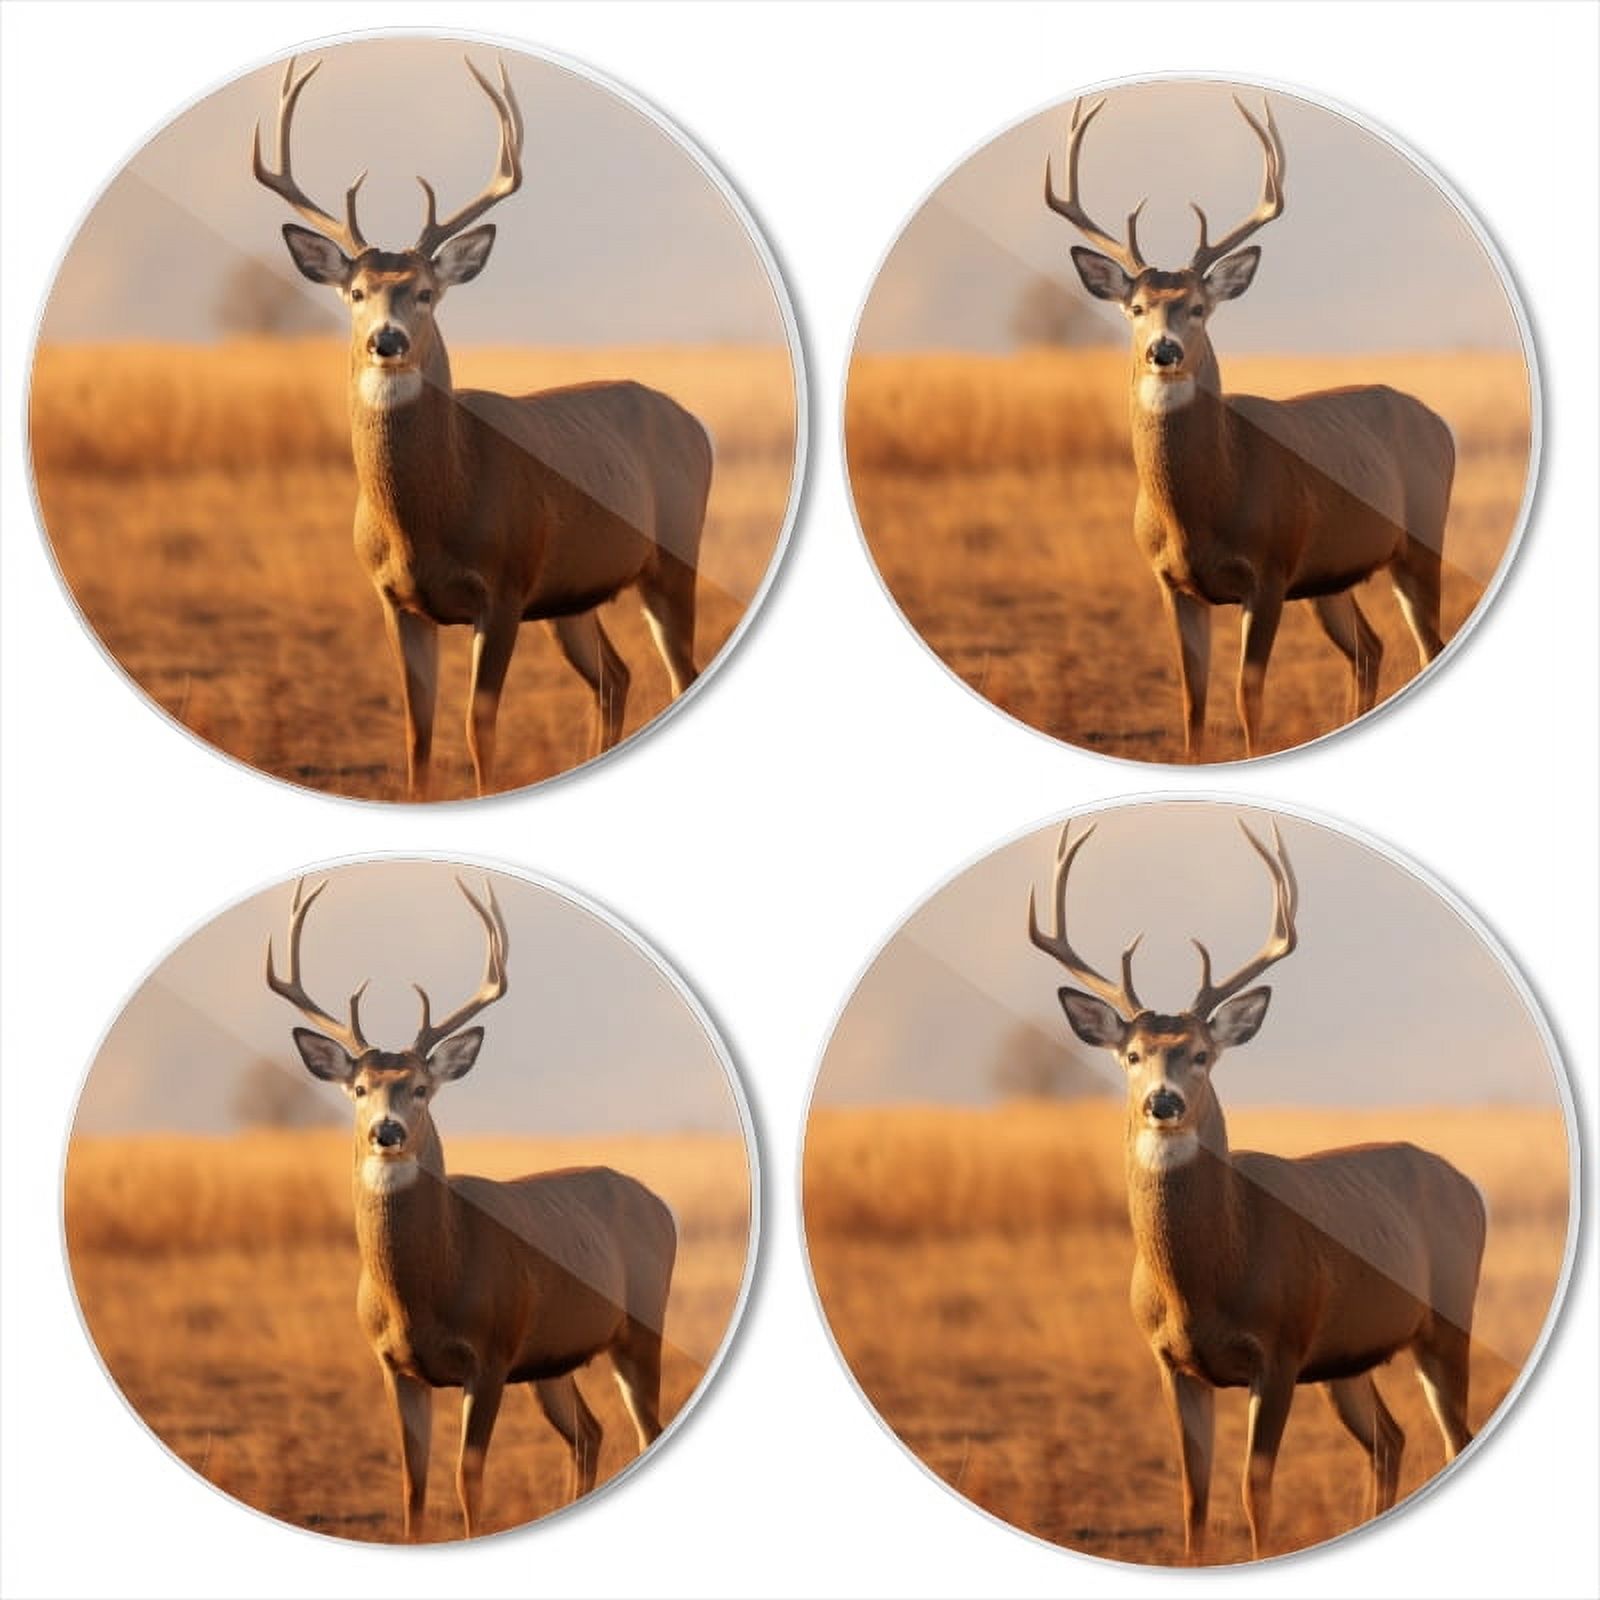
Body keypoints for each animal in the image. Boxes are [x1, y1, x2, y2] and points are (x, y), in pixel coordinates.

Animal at [252, 55, 713, 799]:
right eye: (356, 292)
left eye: (425, 292)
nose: (386, 340)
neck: (428, 519)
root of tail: (693, 422)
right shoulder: (397, 600)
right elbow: (417, 733)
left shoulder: (502, 589)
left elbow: (478, 726)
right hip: (573, 595)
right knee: (615, 677)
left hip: (672, 559)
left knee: (677, 676)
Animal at [266, 875, 678, 1540]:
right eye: (359, 1089)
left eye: (421, 1088)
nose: (386, 1131)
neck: (424, 1293)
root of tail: (659, 1203)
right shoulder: (396, 1366)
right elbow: (412, 1485)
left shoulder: (489, 1355)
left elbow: (468, 1478)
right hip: (552, 1359)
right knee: (589, 1434)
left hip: (640, 1328)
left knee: (644, 1431)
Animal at [1027, 818, 1486, 1561]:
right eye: (1132, 1055)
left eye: (1201, 1054)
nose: (1162, 1101)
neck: (1204, 1283)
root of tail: (1467, 1184)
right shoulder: (1173, 1363)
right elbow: (1193, 1496)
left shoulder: (1279, 1349)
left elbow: (1253, 1489)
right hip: (1348, 1357)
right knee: (1390, 1440)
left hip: (1446, 1321)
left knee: (1452, 1439)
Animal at [1045, 96, 1456, 759]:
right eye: (1136, 308)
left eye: (1198, 307)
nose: (1163, 350)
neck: (1201, 510)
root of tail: (1438, 421)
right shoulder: (1173, 583)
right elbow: (1192, 701)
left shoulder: (1267, 572)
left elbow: (1247, 695)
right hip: (1330, 576)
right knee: (1370, 649)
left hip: (1420, 542)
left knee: (1425, 647)